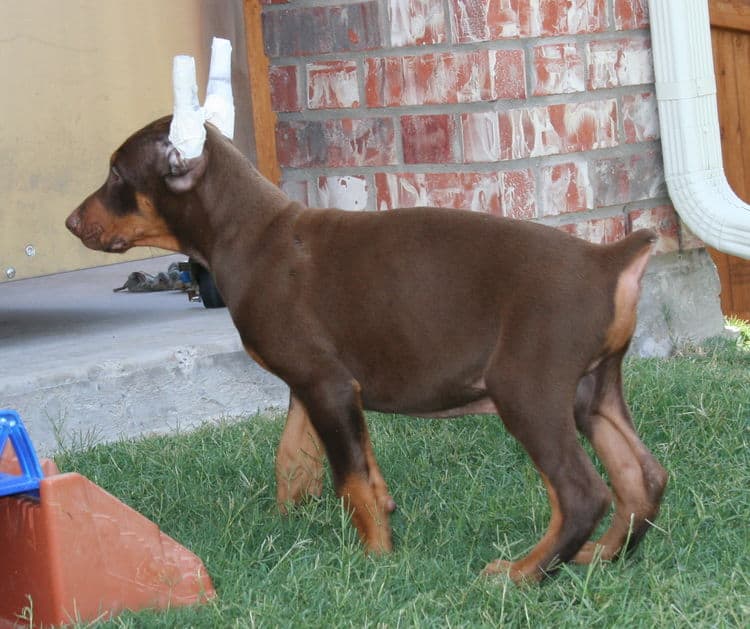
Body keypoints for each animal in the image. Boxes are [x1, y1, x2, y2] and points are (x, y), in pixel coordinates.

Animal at [67, 116, 668, 580]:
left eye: (117, 173)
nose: (71, 222)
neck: (251, 232)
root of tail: (608, 260)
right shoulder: (314, 385)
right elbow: (297, 457)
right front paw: (290, 522)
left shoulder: (325, 385)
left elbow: (349, 478)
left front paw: (376, 560)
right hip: (592, 390)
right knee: (644, 479)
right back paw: (600, 557)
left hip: (528, 390)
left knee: (582, 493)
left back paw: (521, 574)